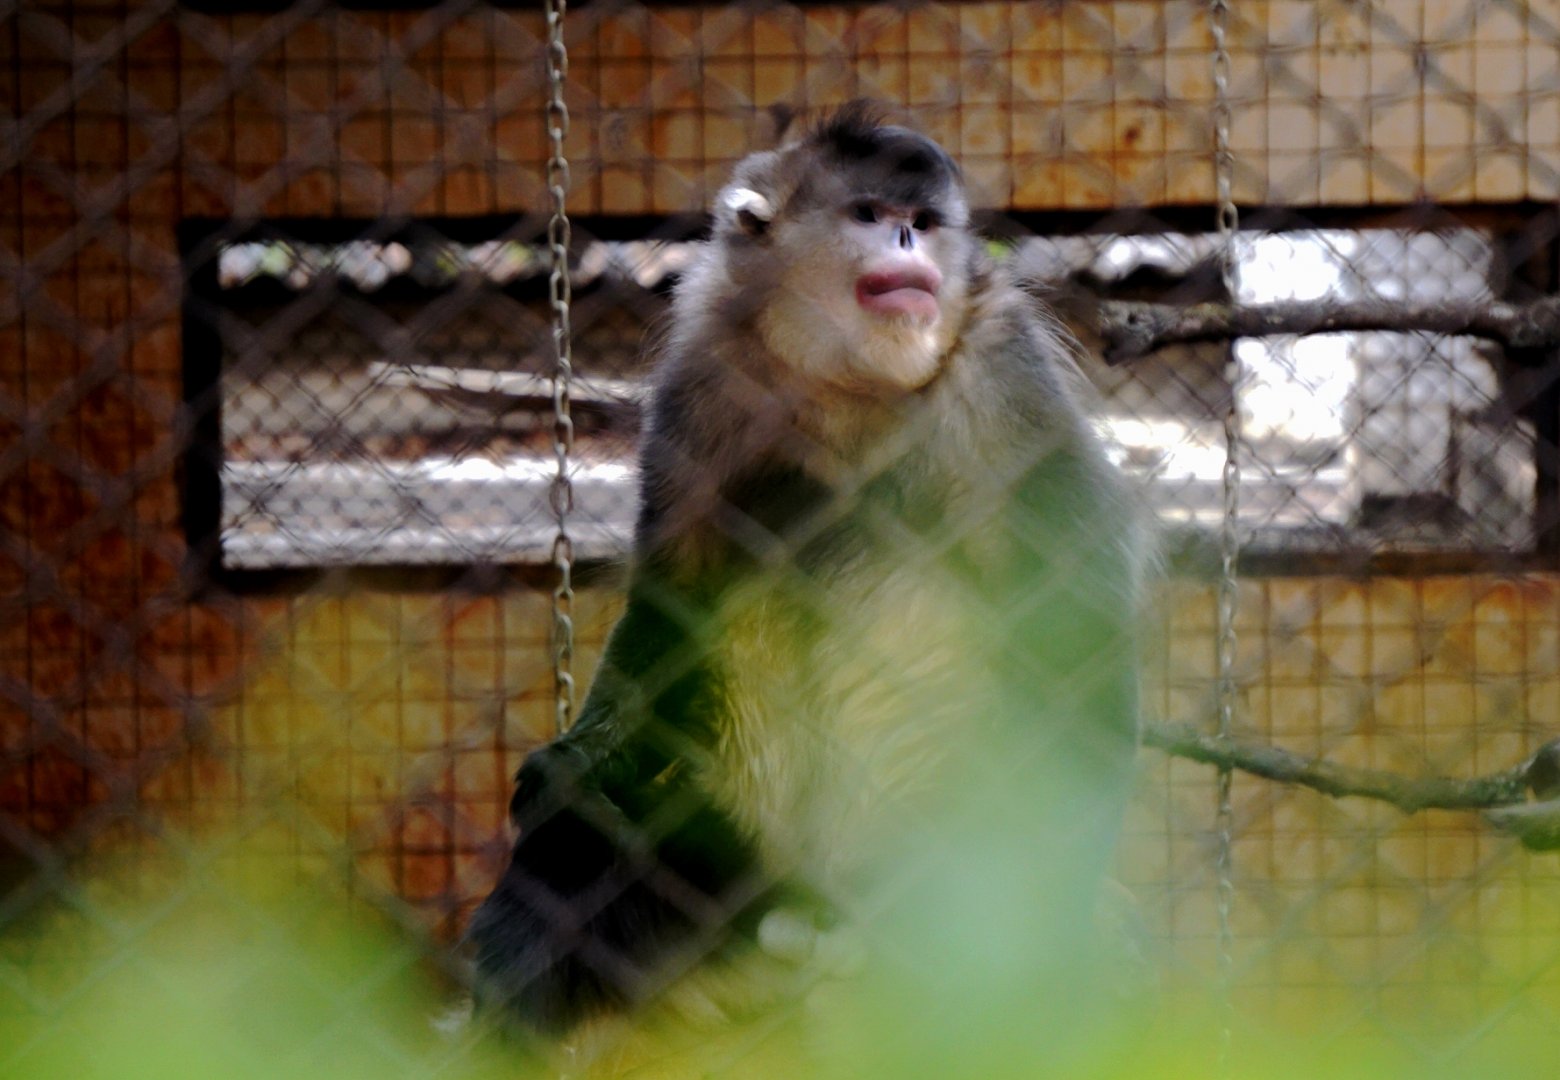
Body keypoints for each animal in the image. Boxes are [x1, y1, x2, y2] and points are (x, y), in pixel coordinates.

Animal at [466, 102, 1146, 1051]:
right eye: (868, 214)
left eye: (924, 221)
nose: (907, 239)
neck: (846, 383)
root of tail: (814, 915)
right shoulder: (707, 366)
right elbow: (678, 591)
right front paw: (574, 768)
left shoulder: (1005, 374)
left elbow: (1072, 615)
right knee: (576, 860)